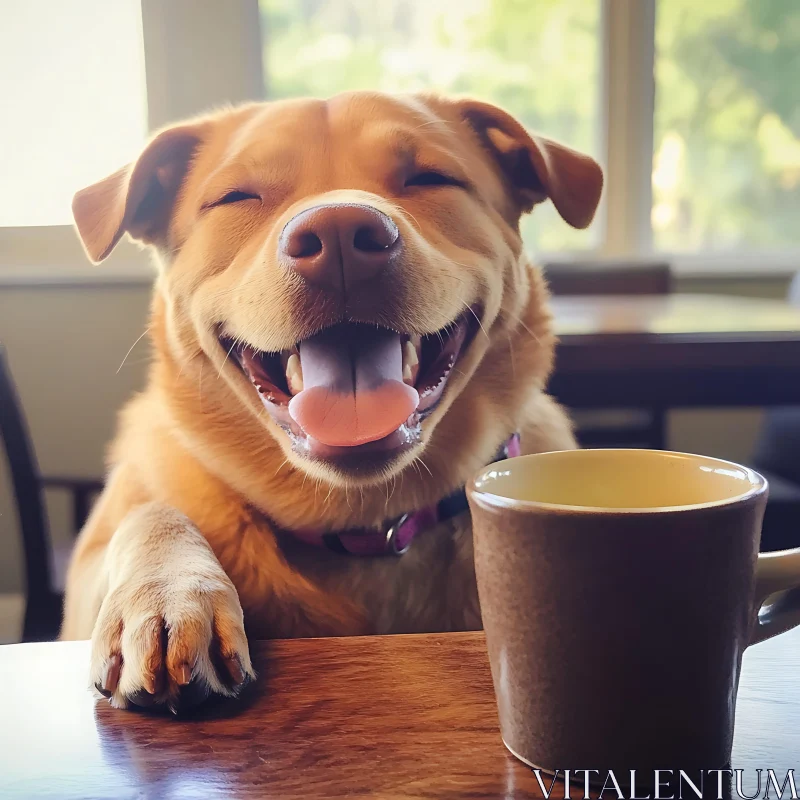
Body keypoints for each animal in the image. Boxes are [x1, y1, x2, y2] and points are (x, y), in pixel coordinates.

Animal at [62, 90, 600, 708]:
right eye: (237, 197)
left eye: (430, 177)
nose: (340, 235)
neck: (363, 522)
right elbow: (152, 513)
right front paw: (169, 592)